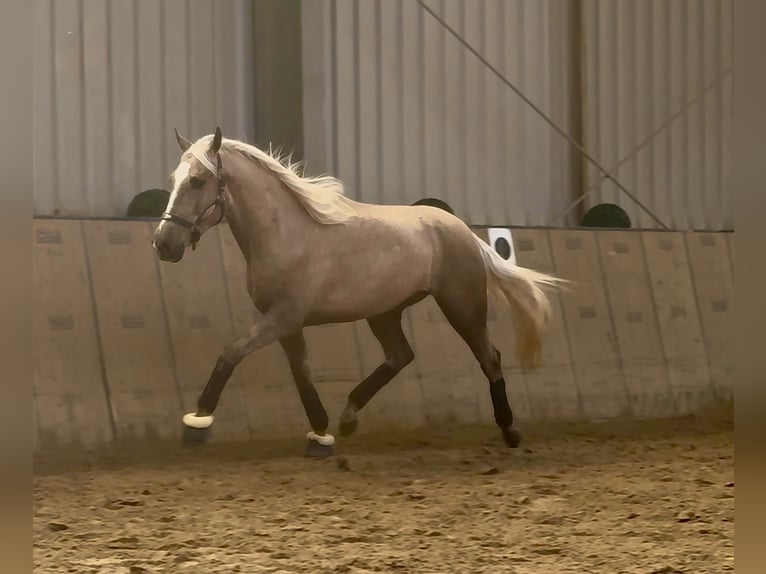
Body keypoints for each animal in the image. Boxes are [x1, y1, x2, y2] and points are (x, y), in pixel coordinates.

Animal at [152, 127, 565, 457]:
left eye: (198, 180)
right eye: (173, 178)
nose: (163, 244)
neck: (285, 234)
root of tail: (462, 229)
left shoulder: (281, 317)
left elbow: (230, 354)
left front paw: (197, 423)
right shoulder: (287, 324)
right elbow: (302, 374)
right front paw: (320, 435)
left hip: (461, 305)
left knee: (489, 357)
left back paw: (510, 429)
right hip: (385, 312)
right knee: (400, 356)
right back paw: (349, 417)